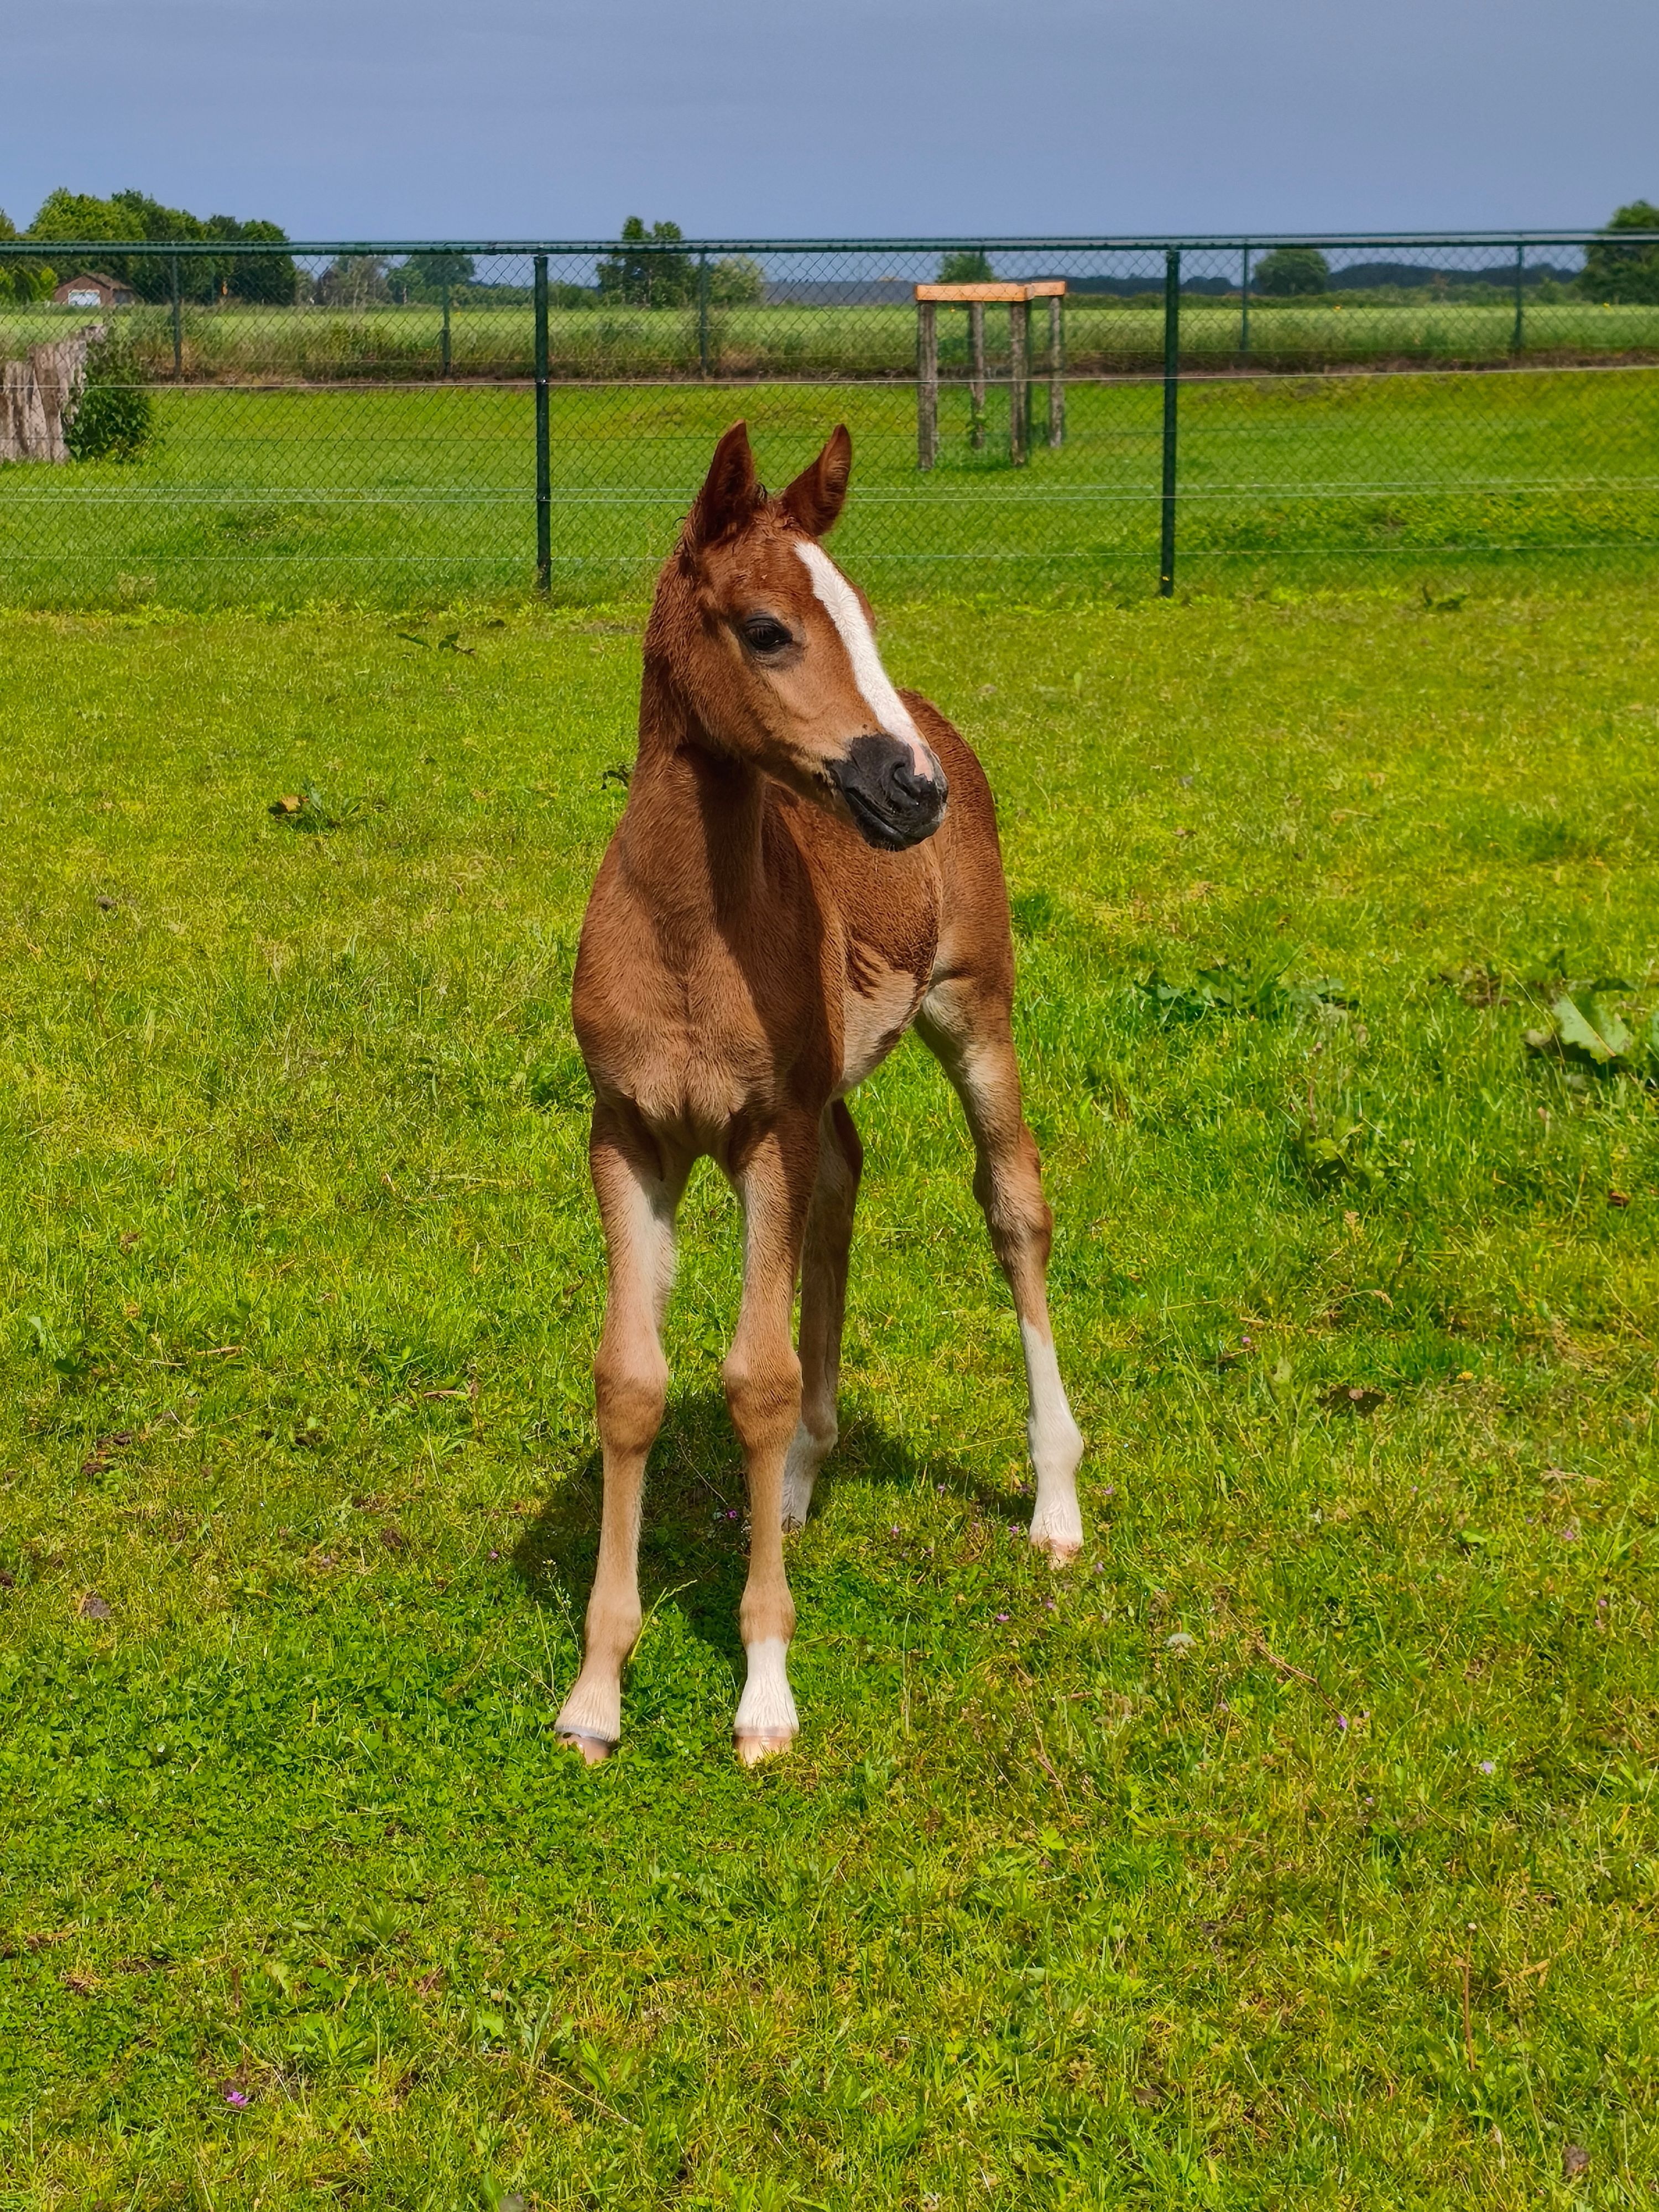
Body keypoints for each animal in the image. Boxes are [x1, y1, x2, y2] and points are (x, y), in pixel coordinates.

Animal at [554, 420, 1084, 1766]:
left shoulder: (761, 1135)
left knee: (1015, 1206)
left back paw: (1056, 1499)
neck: (687, 937)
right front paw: (595, 1691)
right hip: (822, 1098)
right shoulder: (629, 1137)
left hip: (975, 1014)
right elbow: (632, 1378)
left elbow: (755, 1378)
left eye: (865, 619)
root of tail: (946, 723)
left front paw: (764, 1689)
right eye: (767, 629)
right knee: (848, 1181)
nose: (909, 790)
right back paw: (802, 1477)